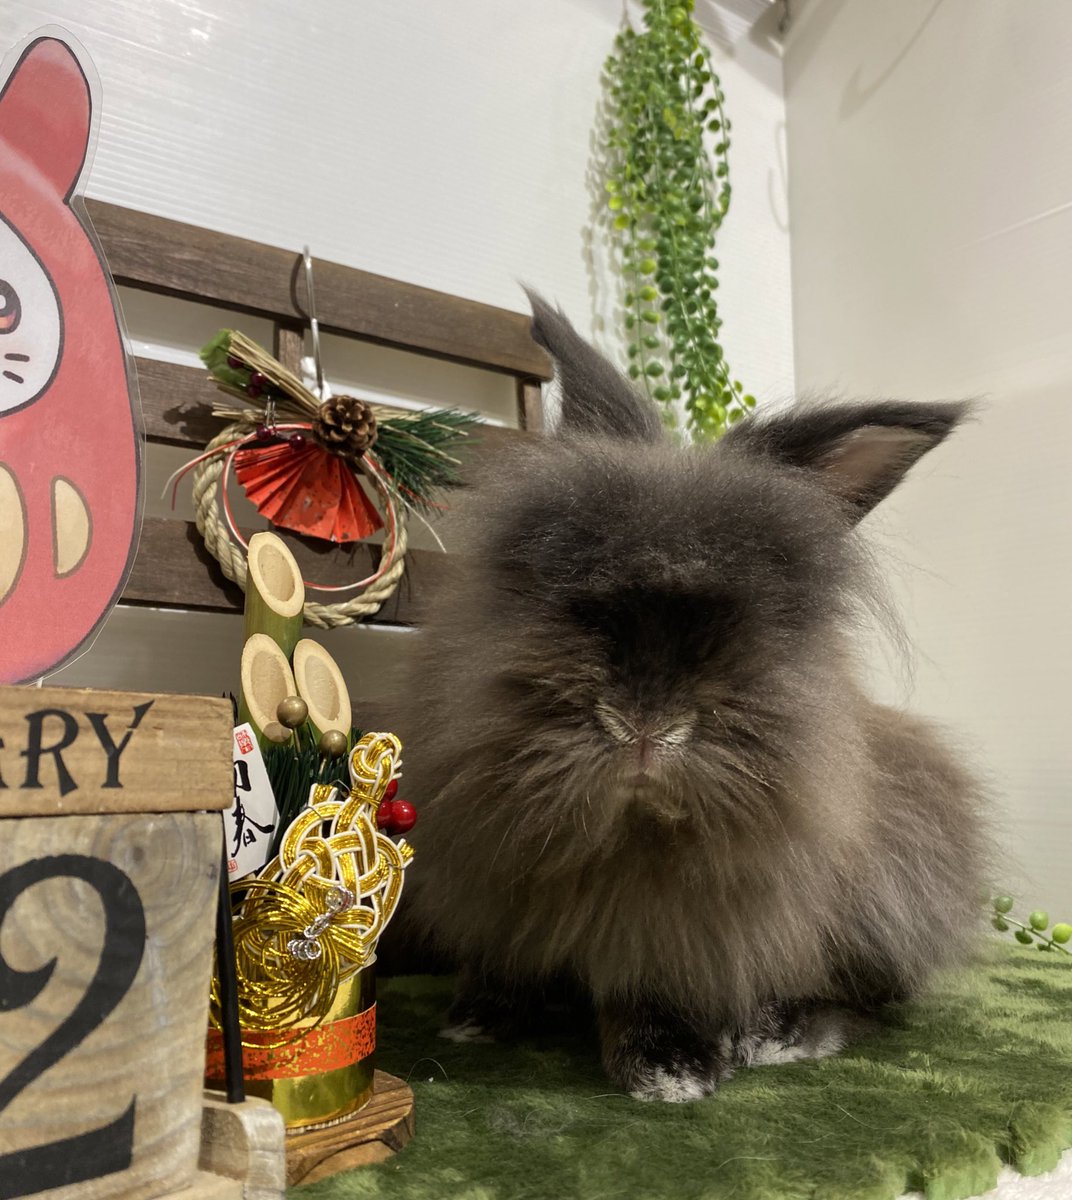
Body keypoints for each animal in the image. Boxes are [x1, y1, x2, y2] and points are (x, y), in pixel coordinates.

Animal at [389, 293, 992, 1103]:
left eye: (765, 611)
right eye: (565, 583)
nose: (645, 725)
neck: (630, 835)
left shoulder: (692, 919)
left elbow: (658, 982)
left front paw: (669, 1071)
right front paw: (480, 1017)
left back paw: (775, 1036)